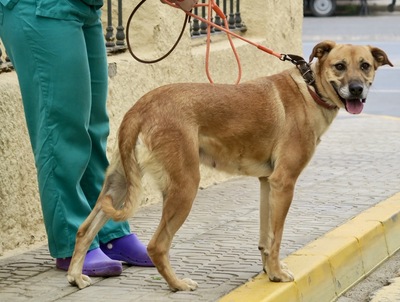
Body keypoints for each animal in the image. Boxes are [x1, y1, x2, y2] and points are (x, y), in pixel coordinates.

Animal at [66, 41, 390, 292]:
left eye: (365, 65)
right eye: (339, 66)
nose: (357, 90)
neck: (310, 89)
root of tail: (141, 107)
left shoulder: (267, 183)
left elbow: (266, 237)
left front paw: (268, 271)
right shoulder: (284, 183)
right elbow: (277, 236)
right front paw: (277, 274)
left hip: (119, 183)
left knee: (84, 228)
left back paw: (75, 276)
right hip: (185, 185)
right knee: (157, 245)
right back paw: (177, 284)